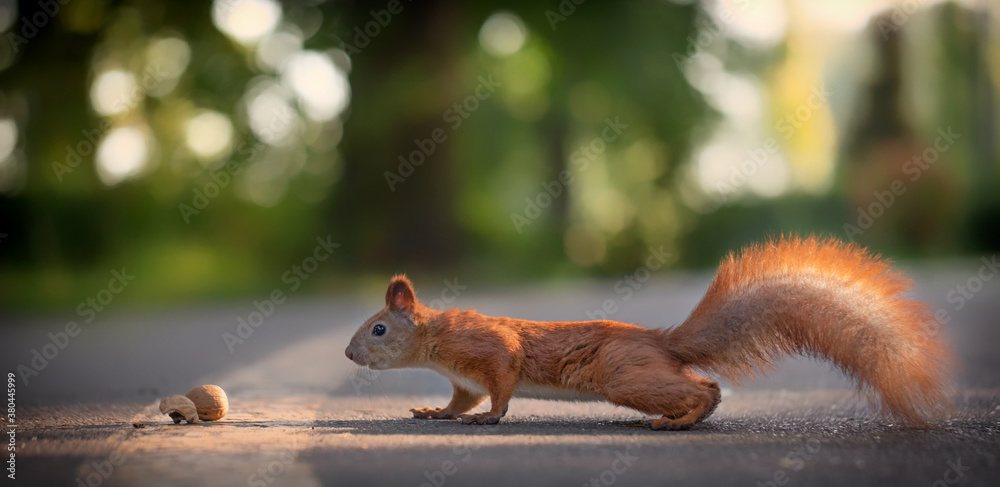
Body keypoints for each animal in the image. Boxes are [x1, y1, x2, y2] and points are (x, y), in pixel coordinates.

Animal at [344, 236, 952, 430]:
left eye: (378, 328)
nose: (348, 354)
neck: (435, 342)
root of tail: (662, 341)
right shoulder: (462, 379)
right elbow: (460, 401)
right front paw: (436, 413)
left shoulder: (488, 351)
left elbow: (501, 383)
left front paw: (492, 419)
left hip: (623, 376)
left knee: (704, 387)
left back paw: (682, 419)